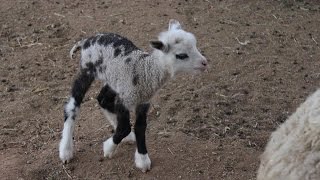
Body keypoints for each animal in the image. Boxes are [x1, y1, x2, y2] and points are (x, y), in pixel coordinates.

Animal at [59, 19, 209, 172]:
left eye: (195, 45)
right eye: (181, 55)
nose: (205, 63)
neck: (145, 71)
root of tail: (86, 40)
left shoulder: (142, 101)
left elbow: (140, 127)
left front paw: (142, 159)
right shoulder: (125, 99)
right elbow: (125, 128)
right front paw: (108, 149)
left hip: (113, 79)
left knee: (102, 99)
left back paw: (125, 134)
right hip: (87, 70)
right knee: (72, 106)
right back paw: (66, 150)